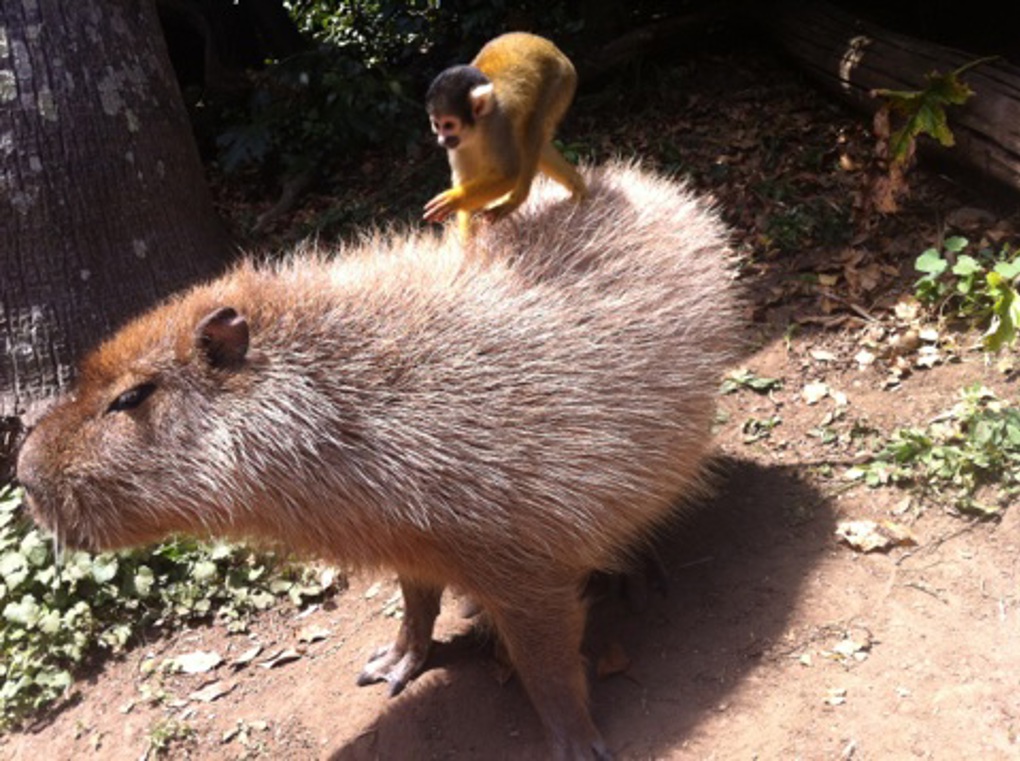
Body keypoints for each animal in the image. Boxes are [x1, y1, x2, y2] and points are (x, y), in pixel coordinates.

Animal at [423, 32, 588, 240]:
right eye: (437, 125)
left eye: (449, 125)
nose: (442, 140)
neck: (477, 128)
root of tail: (550, 46)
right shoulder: (460, 145)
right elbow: (467, 178)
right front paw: (466, 243)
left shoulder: (499, 125)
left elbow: (509, 174)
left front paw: (454, 199)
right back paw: (579, 187)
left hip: (561, 81)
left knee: (532, 133)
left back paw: (516, 200)